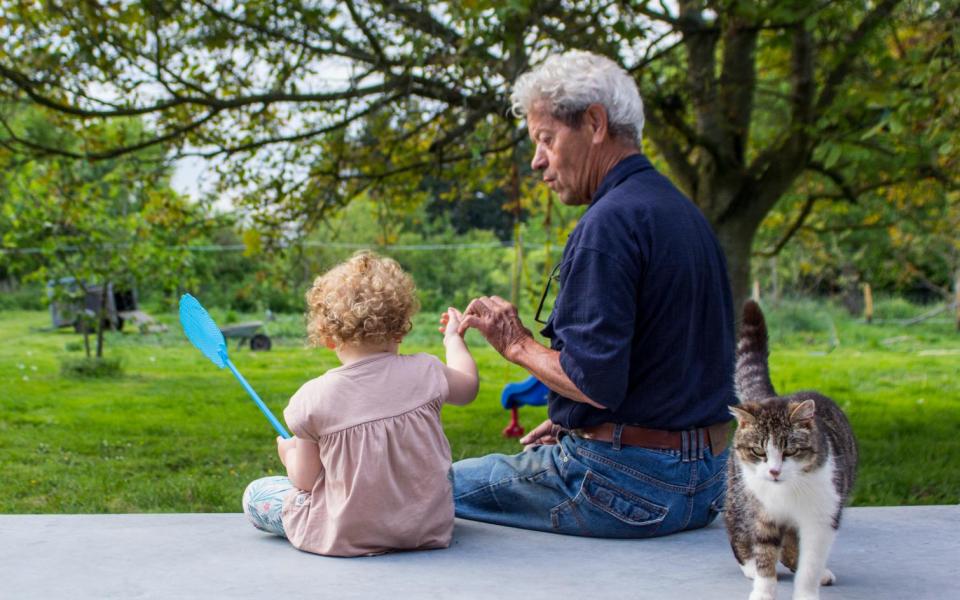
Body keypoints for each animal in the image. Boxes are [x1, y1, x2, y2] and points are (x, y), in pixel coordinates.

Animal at [728, 302, 864, 596]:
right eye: (759, 452)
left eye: (790, 451)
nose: (774, 471)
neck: (788, 493)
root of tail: (771, 397)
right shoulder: (764, 514)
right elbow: (766, 554)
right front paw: (762, 590)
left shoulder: (821, 519)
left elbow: (809, 564)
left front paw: (806, 589)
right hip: (739, 491)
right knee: (735, 523)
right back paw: (749, 564)